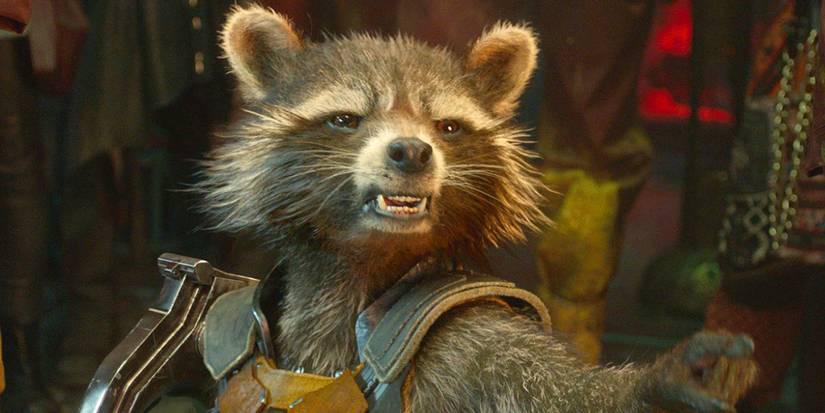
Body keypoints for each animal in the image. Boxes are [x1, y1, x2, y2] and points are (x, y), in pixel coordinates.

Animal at [196, 5, 756, 412]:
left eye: (446, 127)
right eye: (345, 119)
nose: (411, 151)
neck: (368, 264)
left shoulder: (472, 337)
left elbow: (565, 394)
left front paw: (655, 385)